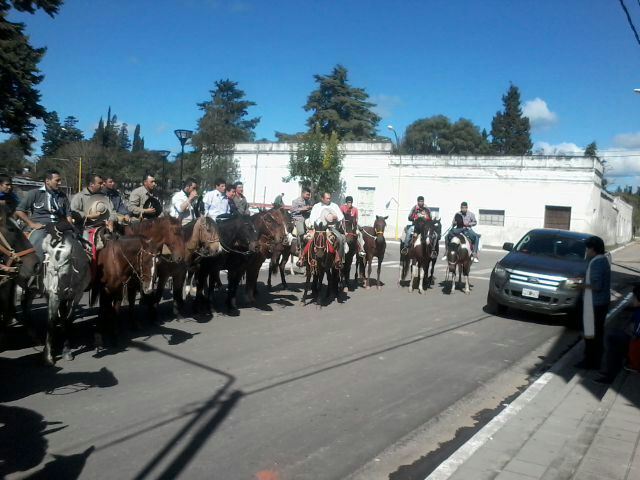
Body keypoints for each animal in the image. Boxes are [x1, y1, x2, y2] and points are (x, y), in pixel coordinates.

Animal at [41, 221, 91, 365]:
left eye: (63, 273)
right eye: (49, 271)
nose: (55, 290)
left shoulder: (77, 294)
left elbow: (68, 319)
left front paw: (66, 350)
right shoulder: (54, 295)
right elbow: (51, 320)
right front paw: (48, 355)